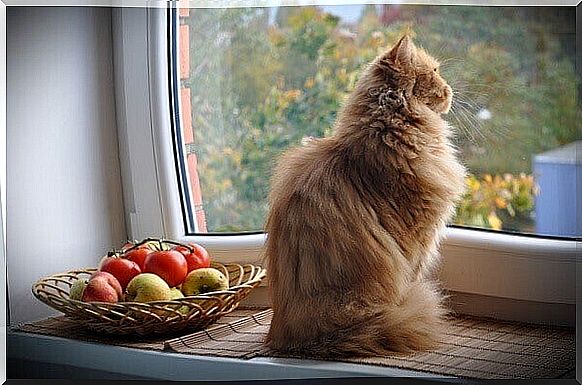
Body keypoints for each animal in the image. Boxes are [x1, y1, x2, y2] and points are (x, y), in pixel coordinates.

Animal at [264, 36, 470, 356]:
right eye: (435, 71)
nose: (449, 89)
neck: (389, 134)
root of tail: (295, 340)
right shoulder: (417, 243)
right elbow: (413, 277)